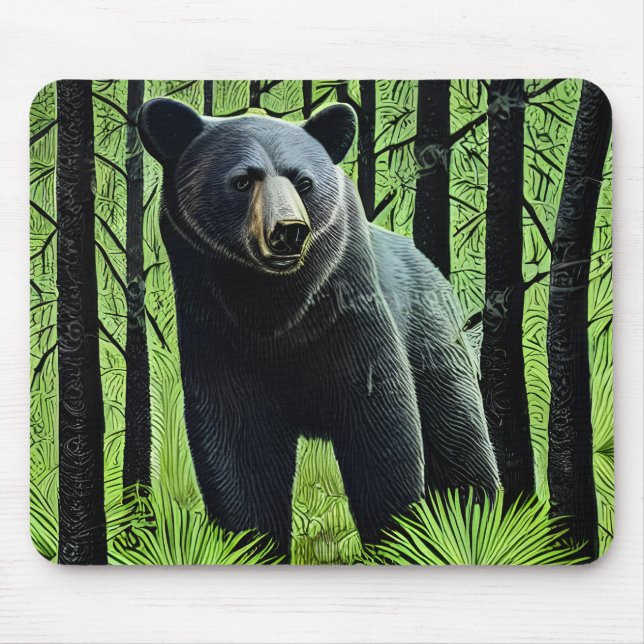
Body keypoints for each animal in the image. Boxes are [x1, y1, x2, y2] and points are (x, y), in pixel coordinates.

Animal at [138, 98, 500, 557]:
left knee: (458, 437)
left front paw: (396, 536)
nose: (288, 232)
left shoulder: (352, 312)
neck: (273, 306)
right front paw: (254, 543)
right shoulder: (217, 333)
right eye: (242, 181)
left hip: (433, 342)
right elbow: (238, 450)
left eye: (303, 181)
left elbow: (383, 427)